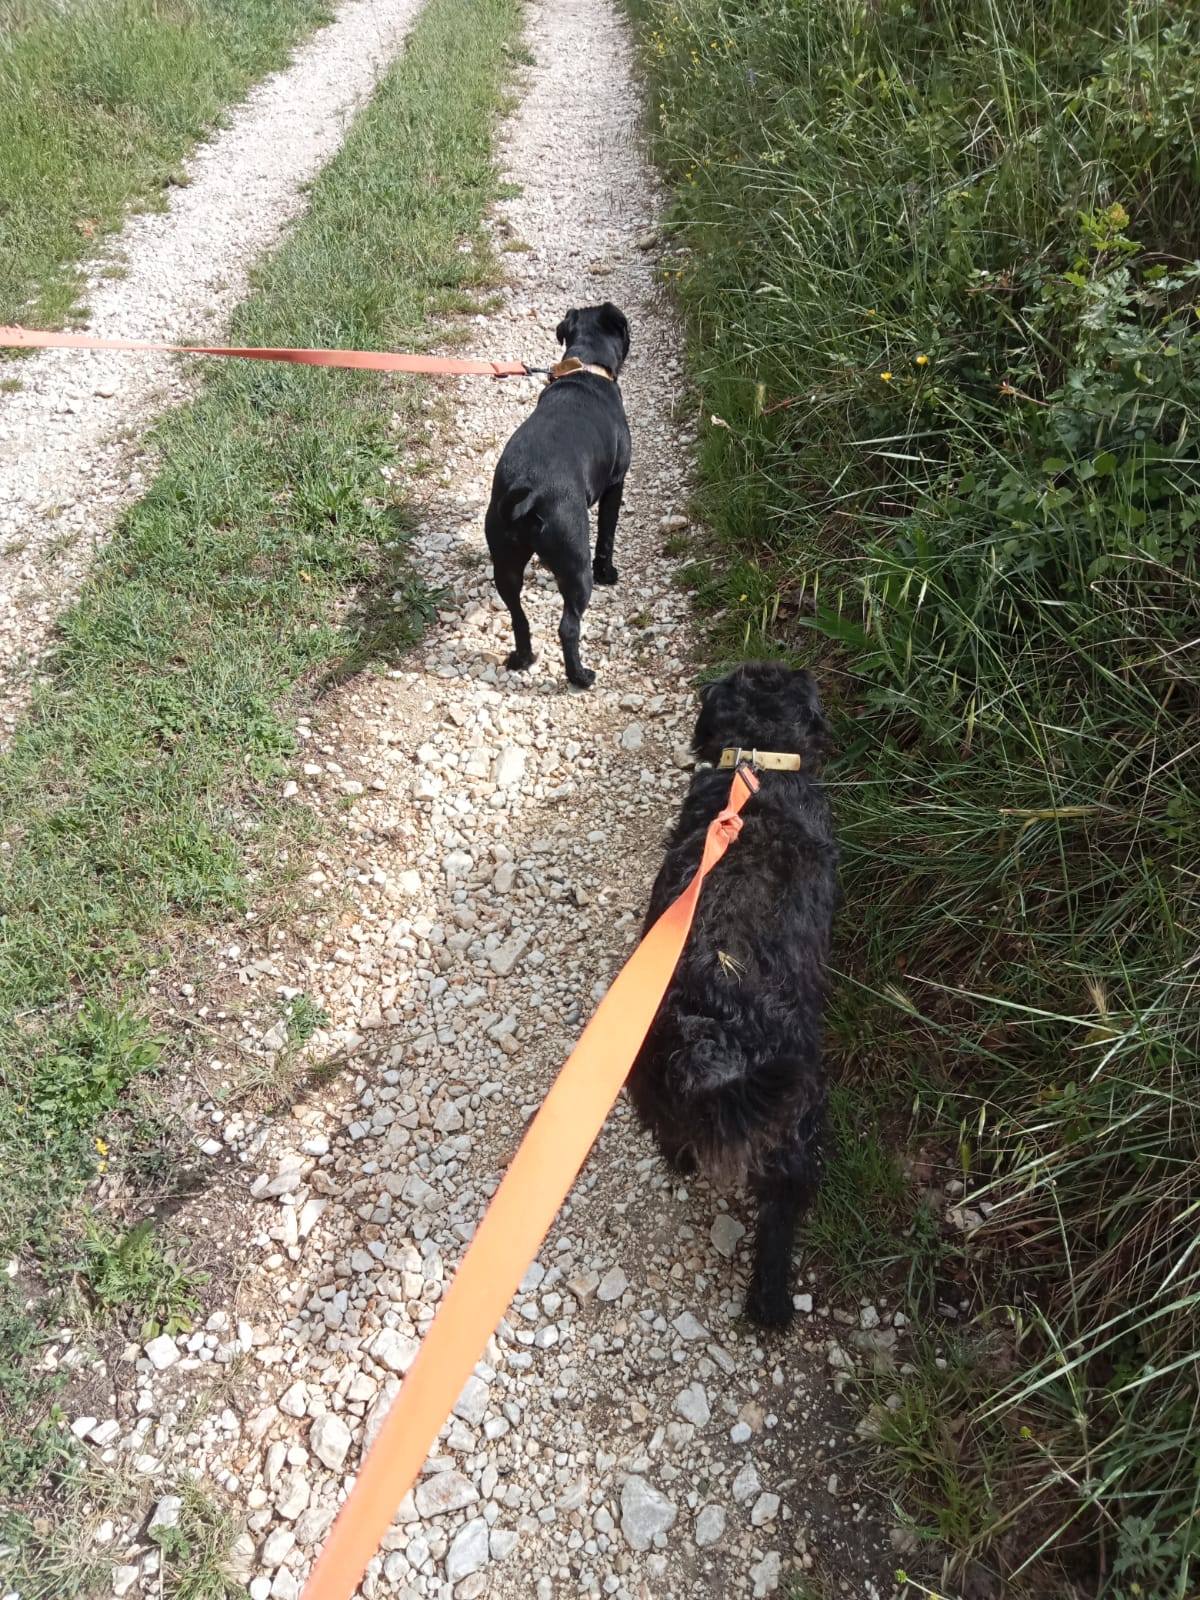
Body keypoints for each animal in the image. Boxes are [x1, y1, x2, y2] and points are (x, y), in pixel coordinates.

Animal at [483, 302, 633, 691]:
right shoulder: (616, 484)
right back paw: (580, 676)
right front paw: (608, 572)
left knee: (518, 616)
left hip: (505, 565)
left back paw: (522, 658)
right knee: (568, 627)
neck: (587, 365)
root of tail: (528, 494)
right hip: (576, 567)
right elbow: (607, 536)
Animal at [624, 662, 838, 1324]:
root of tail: (711, 1038)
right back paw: (770, 1304)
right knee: (783, 1208)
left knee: (672, 1138)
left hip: (653, 1083)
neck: (757, 759)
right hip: (795, 1126)